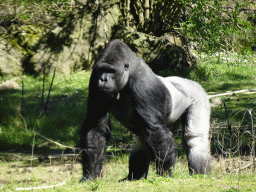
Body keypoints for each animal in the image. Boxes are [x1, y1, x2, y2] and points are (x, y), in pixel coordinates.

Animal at [79, 39, 211, 182]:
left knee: (194, 138)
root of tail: (193, 82)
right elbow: (96, 127)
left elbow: (155, 128)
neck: (130, 72)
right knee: (142, 142)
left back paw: (200, 174)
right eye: (101, 70)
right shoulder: (94, 78)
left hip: (198, 95)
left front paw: (165, 171)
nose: (103, 79)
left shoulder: (144, 85)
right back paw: (135, 176)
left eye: (111, 71)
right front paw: (90, 173)